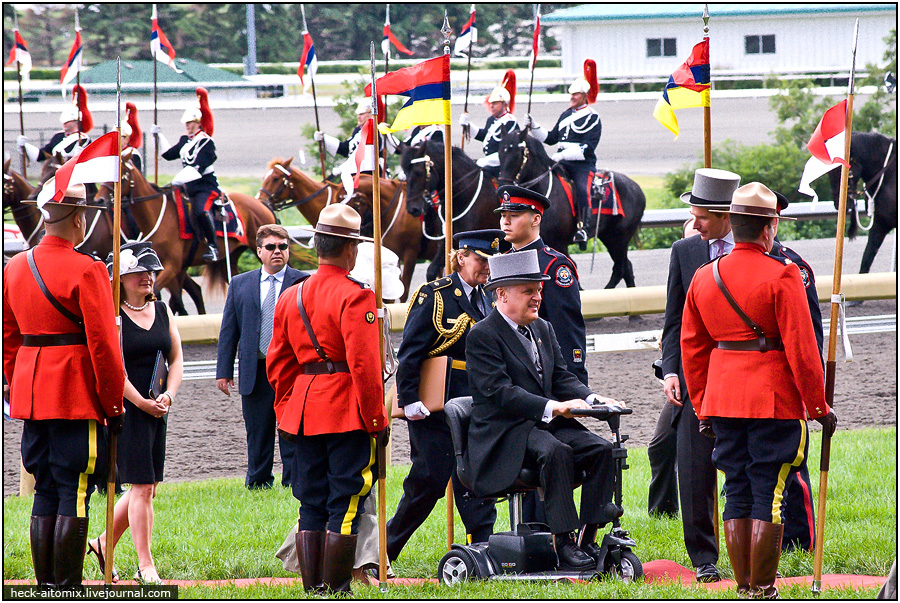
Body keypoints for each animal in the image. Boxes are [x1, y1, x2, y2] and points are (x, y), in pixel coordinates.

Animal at [96, 163, 276, 306]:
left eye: (121, 174)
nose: (99, 199)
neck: (157, 214)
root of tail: (261, 203)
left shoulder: (172, 266)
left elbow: (160, 292)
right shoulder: (165, 267)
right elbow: (172, 298)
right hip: (228, 259)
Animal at [496, 132, 644, 290]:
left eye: (518, 153)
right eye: (500, 152)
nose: (502, 186)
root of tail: (636, 188)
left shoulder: (559, 244)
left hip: (620, 238)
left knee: (620, 268)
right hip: (609, 237)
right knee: (627, 268)